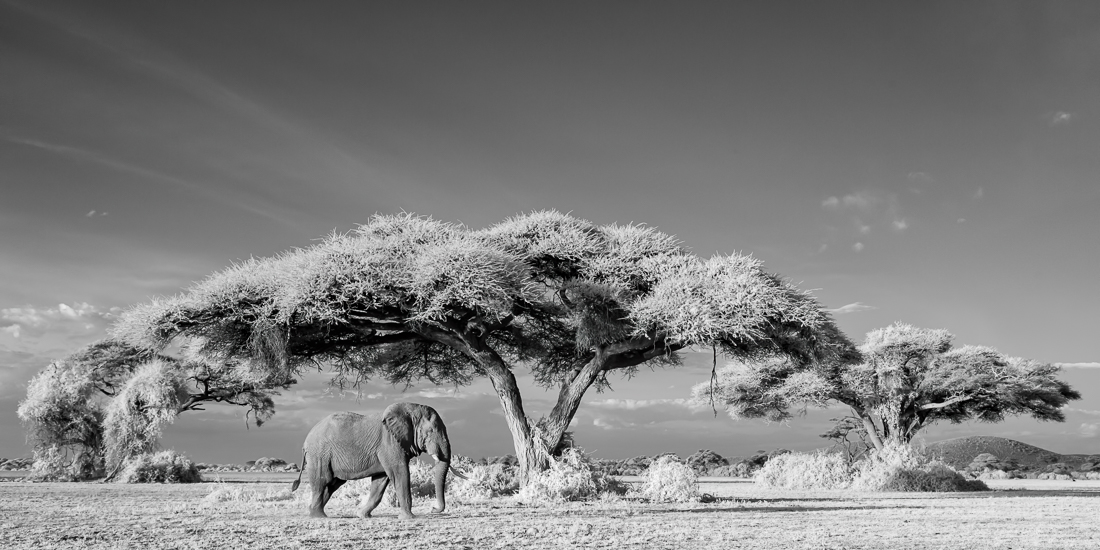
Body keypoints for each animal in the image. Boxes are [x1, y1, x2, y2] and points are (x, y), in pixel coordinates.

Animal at [290, 402, 467, 519]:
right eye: (430, 431)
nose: (433, 509)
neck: (409, 410)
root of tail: (305, 442)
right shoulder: (389, 442)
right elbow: (400, 473)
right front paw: (409, 518)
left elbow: (381, 481)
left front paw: (362, 515)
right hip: (319, 454)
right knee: (322, 482)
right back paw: (318, 516)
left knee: (332, 484)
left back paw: (315, 512)